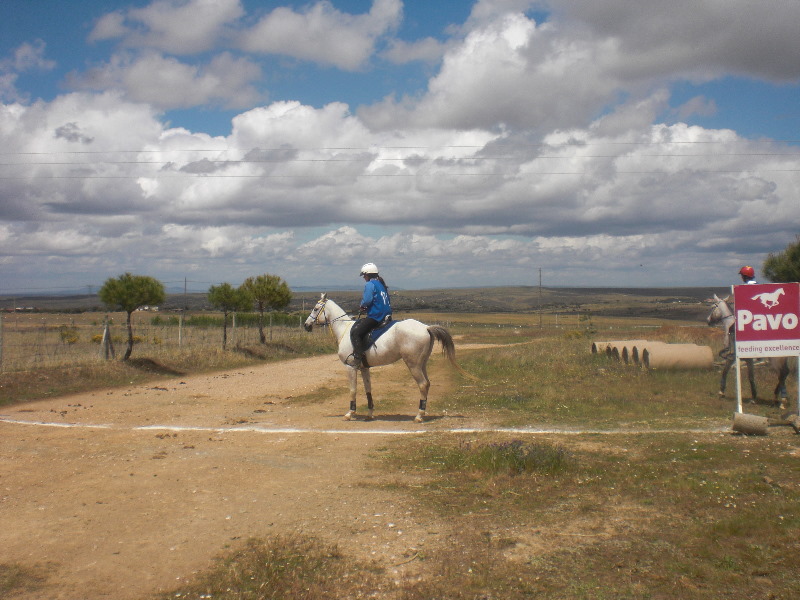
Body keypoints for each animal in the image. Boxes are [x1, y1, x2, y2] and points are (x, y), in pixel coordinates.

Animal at [304, 294, 468, 422]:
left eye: (315, 309)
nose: (306, 325)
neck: (344, 329)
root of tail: (426, 327)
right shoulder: (364, 368)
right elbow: (368, 389)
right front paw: (370, 413)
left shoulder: (351, 367)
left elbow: (353, 389)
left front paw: (350, 413)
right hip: (422, 364)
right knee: (427, 383)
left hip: (413, 365)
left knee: (423, 385)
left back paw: (419, 416)